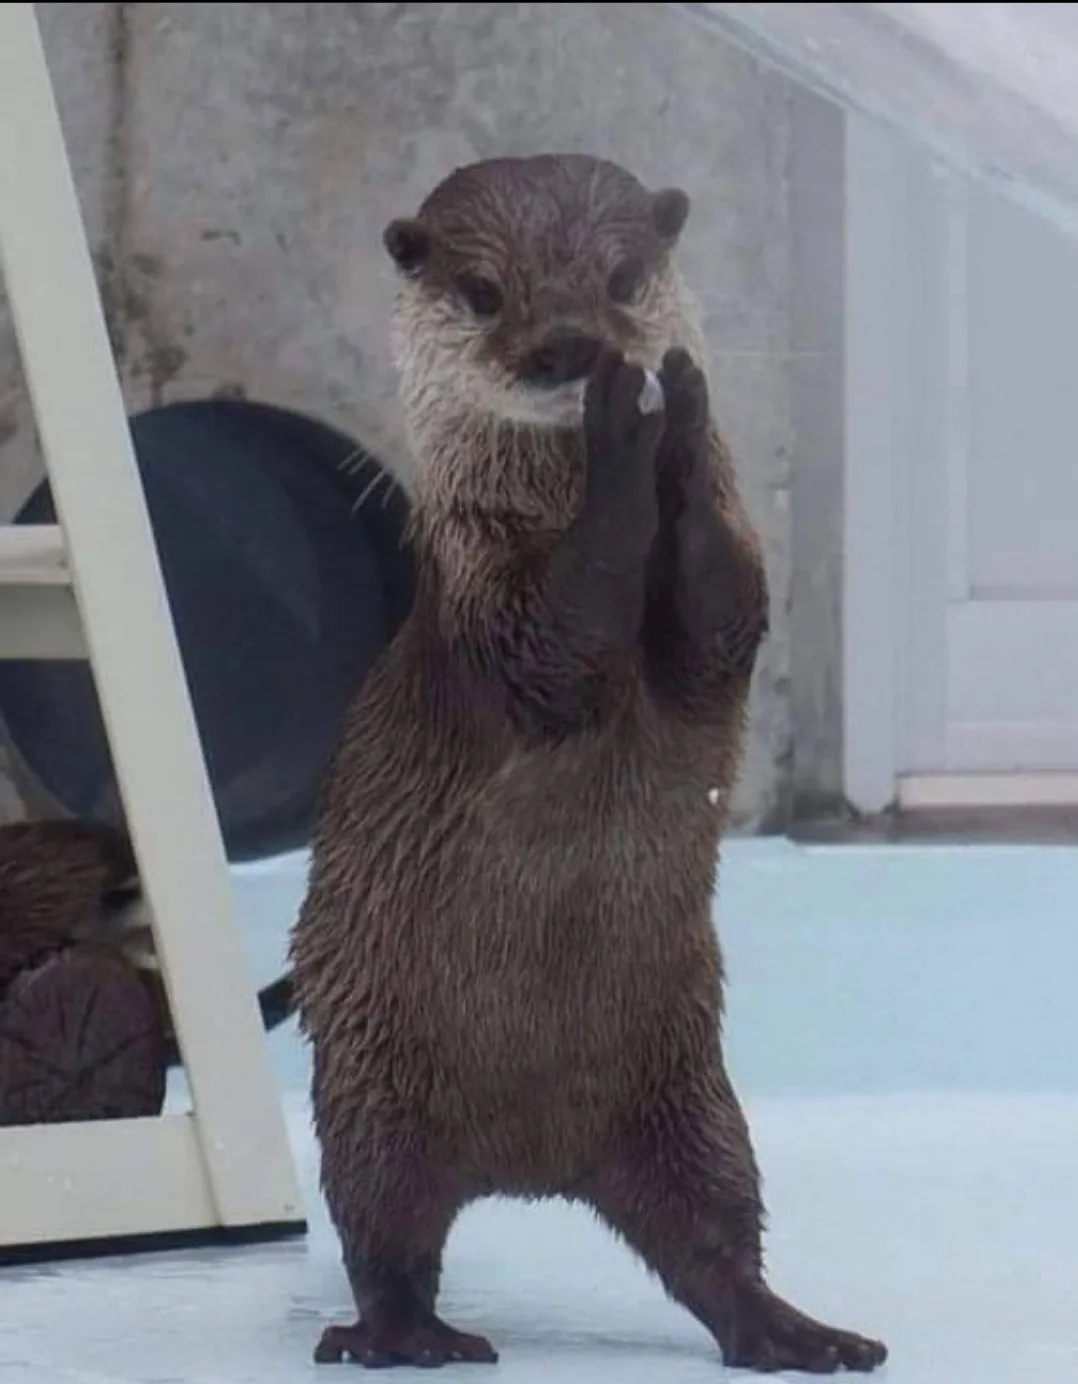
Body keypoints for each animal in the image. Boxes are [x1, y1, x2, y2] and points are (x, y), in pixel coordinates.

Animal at [291, 153, 887, 1374]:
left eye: (621, 276)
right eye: (482, 292)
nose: (572, 347)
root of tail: (530, 1163)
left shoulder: (724, 612)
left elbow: (717, 607)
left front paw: (680, 413)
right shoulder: (497, 600)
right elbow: (564, 632)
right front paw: (626, 439)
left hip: (691, 1098)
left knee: (712, 1235)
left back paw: (792, 1331)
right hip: (372, 1086)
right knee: (385, 1228)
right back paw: (403, 1334)